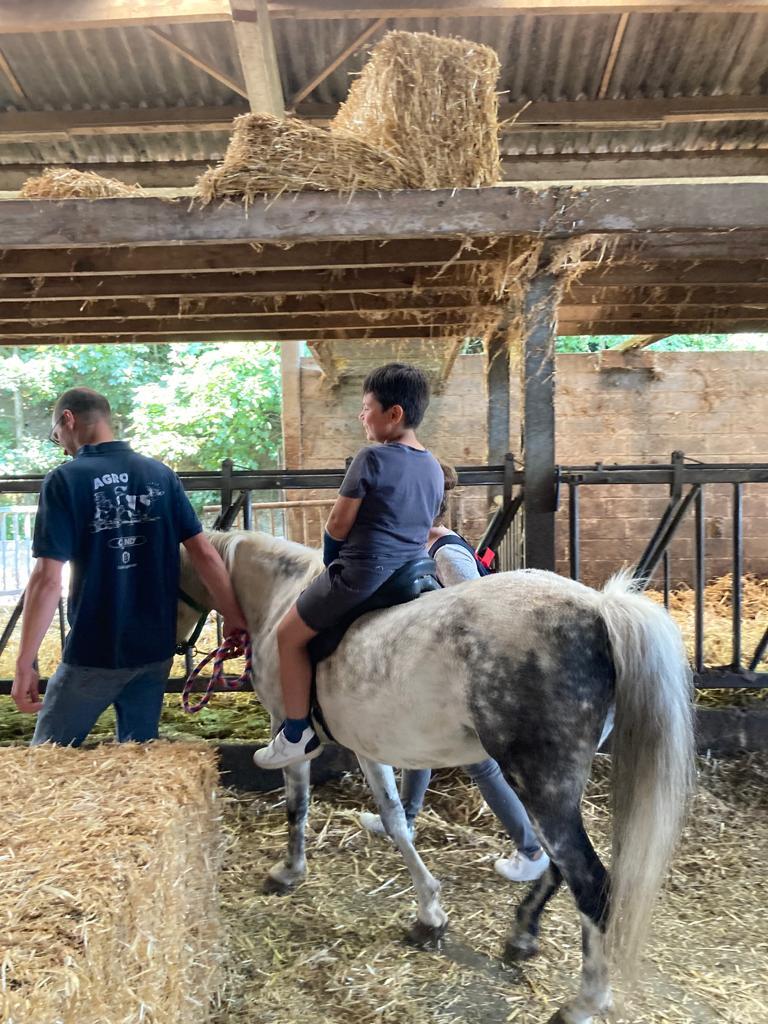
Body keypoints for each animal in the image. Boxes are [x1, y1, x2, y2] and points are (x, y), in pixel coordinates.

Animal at [178, 530, 695, 1024]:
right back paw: (523, 931)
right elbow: (395, 821)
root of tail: (599, 610)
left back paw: (581, 1004)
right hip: (555, 787)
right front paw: (429, 914)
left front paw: (289, 871)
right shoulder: (368, 746)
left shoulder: (290, 729)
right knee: (558, 864)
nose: (176, 644)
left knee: (590, 884)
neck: (280, 593)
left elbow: (297, 806)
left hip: (539, 783)